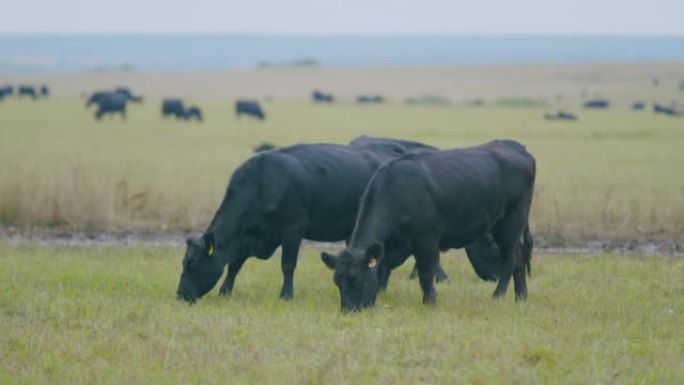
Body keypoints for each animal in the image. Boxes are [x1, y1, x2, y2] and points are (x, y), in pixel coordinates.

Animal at [324, 140, 536, 310]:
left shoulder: (426, 239)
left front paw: (429, 302)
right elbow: (384, 270)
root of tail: (517, 148)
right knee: (520, 258)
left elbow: (426, 272)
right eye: (337, 281)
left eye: (355, 280)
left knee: (510, 260)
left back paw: (498, 295)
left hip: (511, 224)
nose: (348, 310)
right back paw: (521, 297)